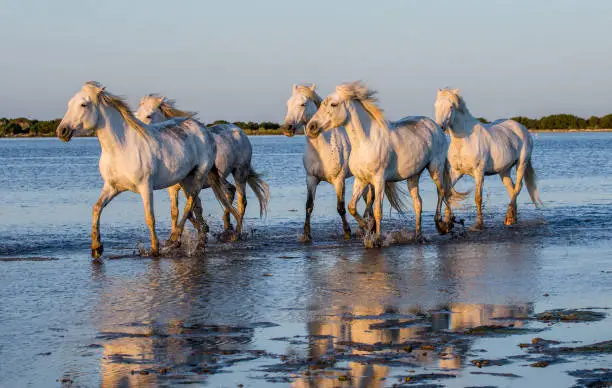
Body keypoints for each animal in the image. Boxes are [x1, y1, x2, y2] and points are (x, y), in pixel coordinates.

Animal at [55, 82, 234, 258]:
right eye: (69, 104)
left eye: (83, 104)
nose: (61, 131)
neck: (120, 148)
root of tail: (204, 130)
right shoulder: (112, 187)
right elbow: (96, 208)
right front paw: (96, 247)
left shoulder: (145, 187)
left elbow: (150, 217)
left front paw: (154, 249)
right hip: (185, 179)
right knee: (195, 206)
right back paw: (199, 242)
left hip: (199, 175)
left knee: (189, 204)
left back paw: (175, 237)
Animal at [136, 94, 270, 239]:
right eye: (136, 114)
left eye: (149, 115)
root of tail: (240, 131)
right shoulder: (173, 189)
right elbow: (177, 212)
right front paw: (190, 232)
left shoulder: (190, 185)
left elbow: (192, 208)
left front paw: (199, 231)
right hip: (221, 178)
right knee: (230, 191)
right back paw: (227, 225)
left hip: (240, 172)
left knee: (241, 201)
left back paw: (237, 234)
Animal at [280, 84, 376, 241]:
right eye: (288, 104)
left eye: (303, 104)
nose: (287, 128)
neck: (322, 148)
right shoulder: (311, 179)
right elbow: (309, 206)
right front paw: (307, 235)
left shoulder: (339, 180)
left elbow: (340, 207)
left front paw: (347, 232)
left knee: (370, 199)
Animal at [306, 82, 454, 247]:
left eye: (333, 104)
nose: (311, 127)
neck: (365, 142)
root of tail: (436, 126)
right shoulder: (361, 180)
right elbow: (352, 207)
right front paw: (367, 227)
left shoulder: (379, 180)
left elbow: (377, 210)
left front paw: (376, 239)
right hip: (413, 176)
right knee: (418, 203)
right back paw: (418, 235)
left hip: (435, 167)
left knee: (442, 191)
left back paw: (444, 225)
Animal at [432, 88, 544, 229]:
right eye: (436, 105)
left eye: (451, 106)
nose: (440, 127)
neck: (465, 140)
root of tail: (522, 128)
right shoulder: (456, 172)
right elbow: (448, 192)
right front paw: (447, 222)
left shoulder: (479, 172)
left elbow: (478, 198)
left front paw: (479, 224)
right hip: (504, 170)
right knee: (512, 189)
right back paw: (513, 218)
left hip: (522, 164)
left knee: (518, 187)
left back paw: (508, 218)